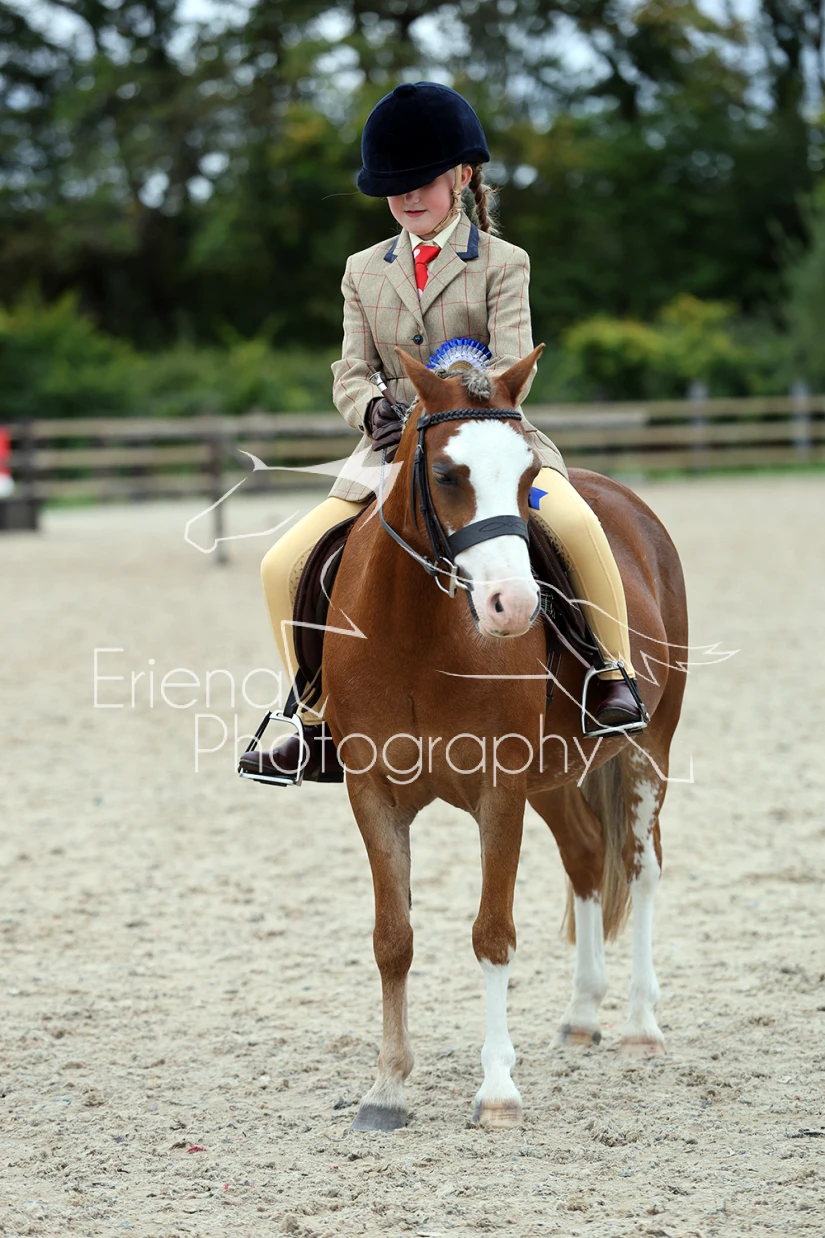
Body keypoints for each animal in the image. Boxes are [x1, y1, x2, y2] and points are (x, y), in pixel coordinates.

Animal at [322, 343, 688, 1131]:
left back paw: (640, 1026)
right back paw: (581, 1017)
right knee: (585, 859)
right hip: (552, 778)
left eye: (524, 479)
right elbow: (392, 939)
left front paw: (495, 1091)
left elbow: (492, 935)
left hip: (648, 751)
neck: (414, 632)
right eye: (445, 475)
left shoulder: (498, 789)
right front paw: (387, 1089)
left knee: (639, 866)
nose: (513, 607)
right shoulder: (374, 793)